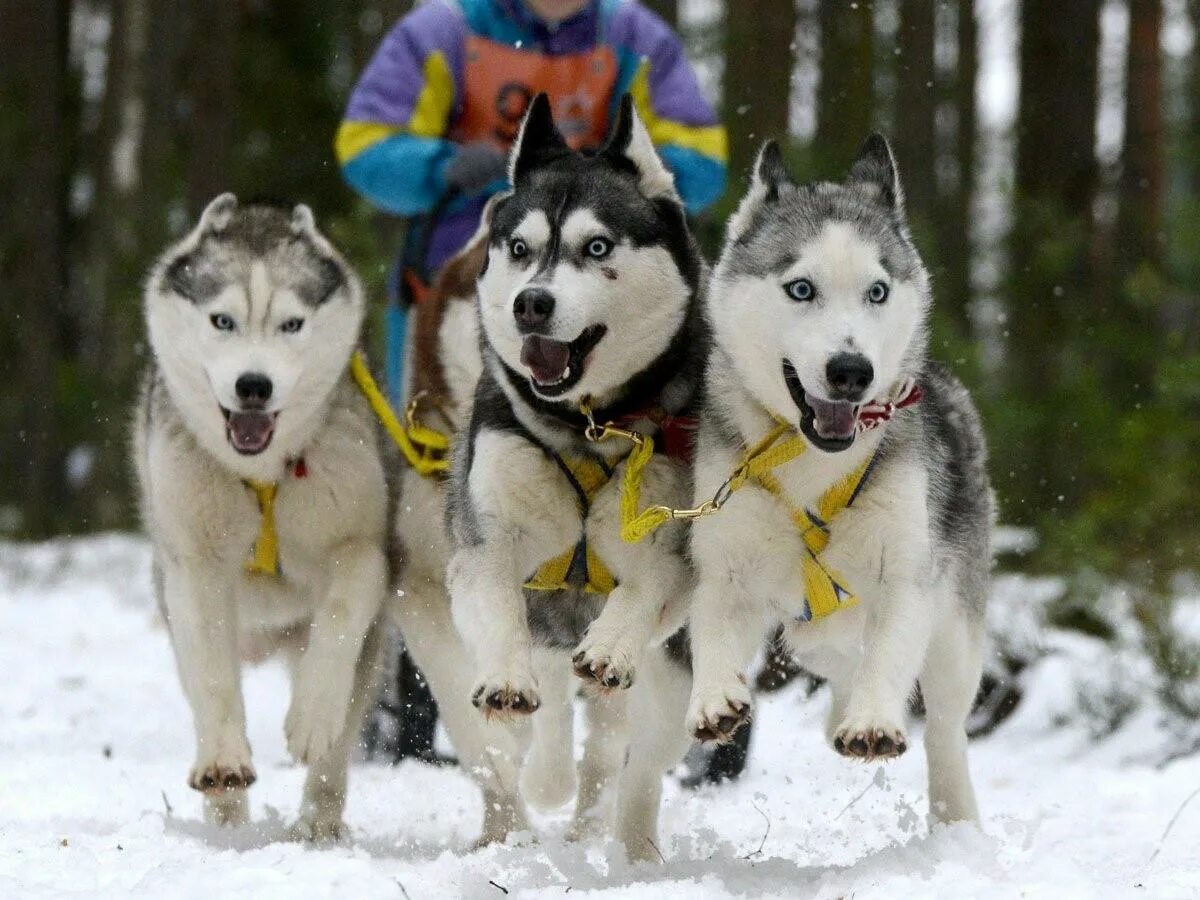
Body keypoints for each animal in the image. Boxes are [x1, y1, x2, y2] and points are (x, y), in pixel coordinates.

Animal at [137, 195, 388, 840]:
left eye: (291, 325)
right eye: (223, 321)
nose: (254, 385)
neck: (265, 478)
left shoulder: (363, 542)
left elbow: (344, 604)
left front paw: (313, 716)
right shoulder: (195, 566)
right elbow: (214, 680)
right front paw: (225, 763)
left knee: (335, 754)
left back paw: (318, 825)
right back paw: (227, 818)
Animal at [396, 95, 700, 864]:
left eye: (597, 248)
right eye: (519, 248)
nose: (530, 303)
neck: (585, 425)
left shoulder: (672, 547)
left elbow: (645, 588)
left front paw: (613, 644)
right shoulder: (483, 552)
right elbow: (502, 619)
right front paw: (510, 683)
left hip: (670, 678)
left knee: (632, 764)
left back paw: (628, 846)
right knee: (541, 731)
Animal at [691, 137, 988, 830]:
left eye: (877, 291)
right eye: (801, 288)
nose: (852, 371)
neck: (812, 467)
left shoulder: (907, 576)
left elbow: (890, 654)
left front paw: (874, 720)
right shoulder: (726, 566)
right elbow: (713, 628)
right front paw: (714, 696)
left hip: (955, 631)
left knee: (944, 724)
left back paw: (956, 819)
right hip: (812, 630)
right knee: (830, 655)